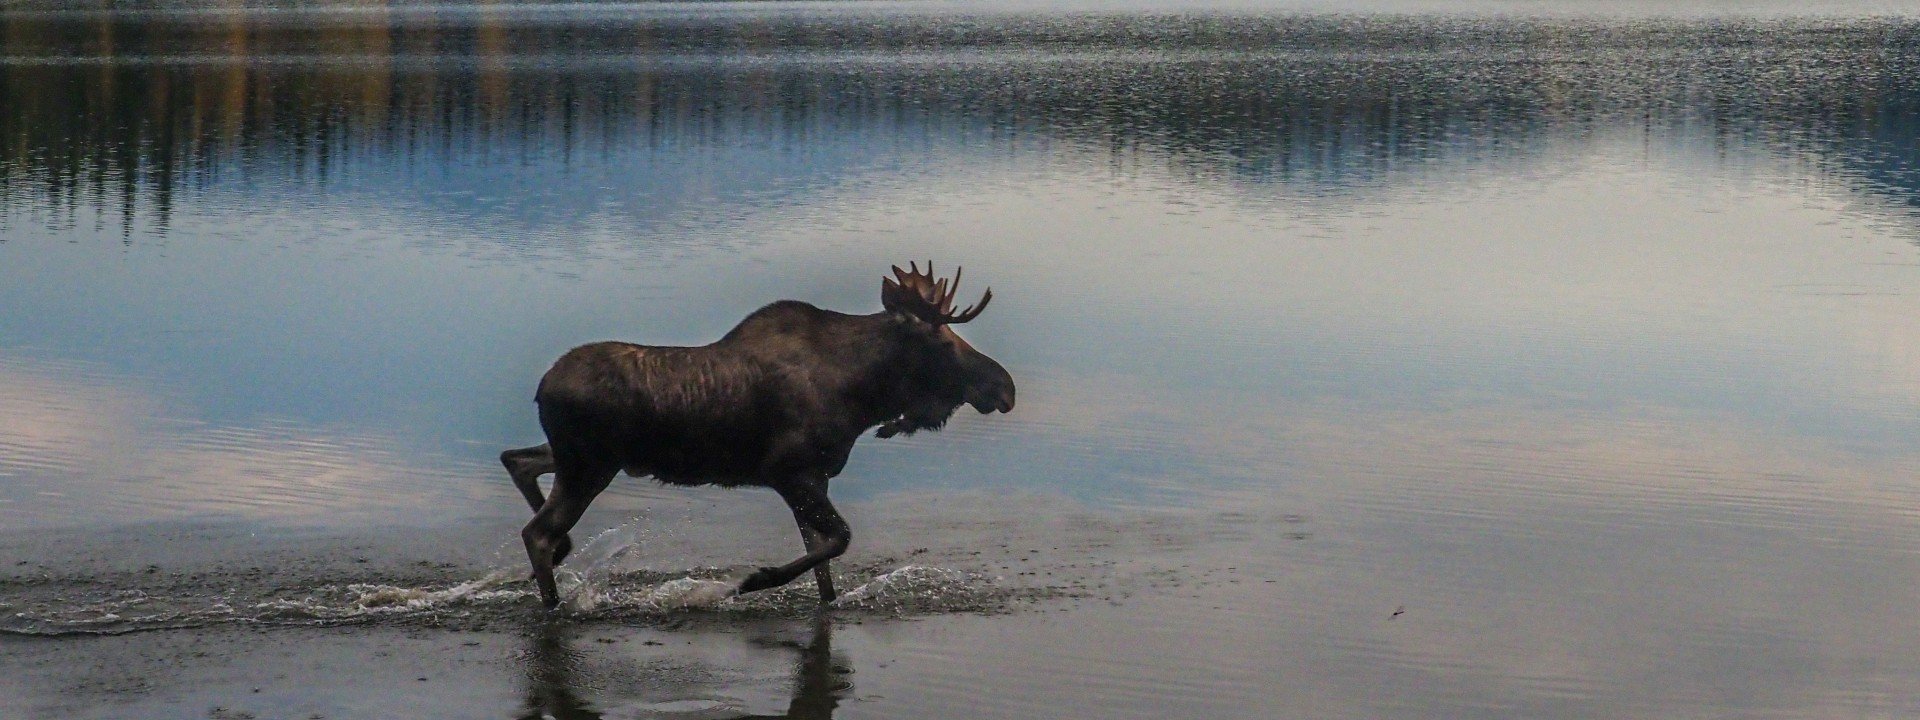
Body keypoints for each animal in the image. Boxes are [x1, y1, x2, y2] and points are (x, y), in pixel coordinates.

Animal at [501, 263, 1015, 609]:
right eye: (943, 341)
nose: (1005, 387)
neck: (862, 397)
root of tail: (541, 387)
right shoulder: (788, 472)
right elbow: (839, 539)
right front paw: (755, 580)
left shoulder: (815, 478)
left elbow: (823, 563)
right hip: (589, 466)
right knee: (536, 532)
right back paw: (553, 601)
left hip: (582, 459)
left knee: (517, 460)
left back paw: (564, 554)